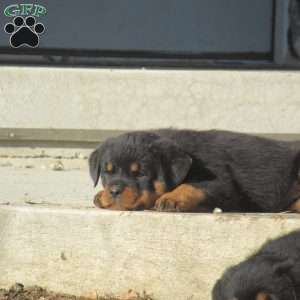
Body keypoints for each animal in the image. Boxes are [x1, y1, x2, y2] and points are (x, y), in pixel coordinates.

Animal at [88, 130, 300, 212]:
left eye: (140, 174)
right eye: (107, 172)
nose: (114, 191)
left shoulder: (223, 182)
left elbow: (191, 185)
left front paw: (171, 198)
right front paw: (100, 194)